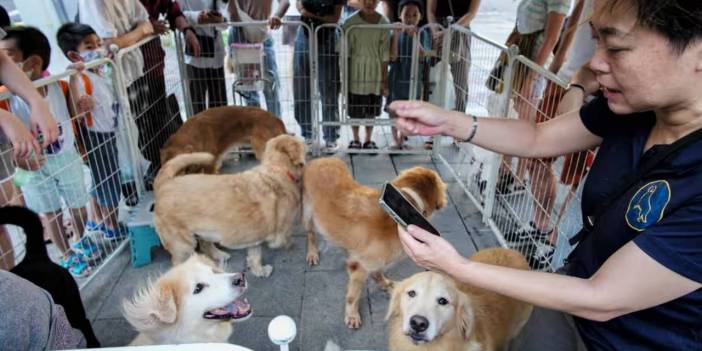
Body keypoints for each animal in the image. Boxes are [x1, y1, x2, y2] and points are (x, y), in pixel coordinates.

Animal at [155, 135, 306, 278]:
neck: (276, 170)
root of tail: (165, 183)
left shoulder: (255, 235)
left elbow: (255, 255)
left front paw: (259, 270)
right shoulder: (279, 232)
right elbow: (284, 239)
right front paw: (289, 244)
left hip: (203, 231)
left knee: (205, 245)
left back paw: (218, 255)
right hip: (182, 245)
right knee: (180, 262)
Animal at [302, 159, 446, 330]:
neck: (408, 201)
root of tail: (320, 159)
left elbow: (378, 272)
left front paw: (385, 283)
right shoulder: (359, 268)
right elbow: (353, 296)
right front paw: (352, 315)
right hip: (308, 214)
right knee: (310, 235)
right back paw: (312, 253)